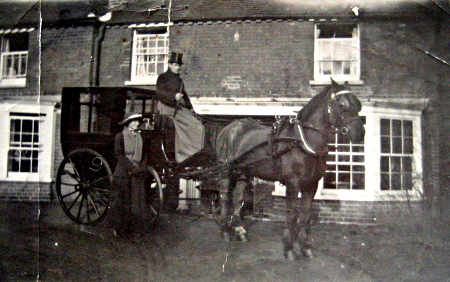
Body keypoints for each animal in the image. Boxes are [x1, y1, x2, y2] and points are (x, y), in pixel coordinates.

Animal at [214, 79, 366, 260]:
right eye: (342, 105)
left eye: (358, 104)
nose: (360, 134)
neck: (301, 141)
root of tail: (229, 128)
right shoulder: (293, 182)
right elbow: (292, 213)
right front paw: (289, 247)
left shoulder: (311, 183)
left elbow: (305, 214)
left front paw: (305, 247)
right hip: (226, 170)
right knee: (224, 197)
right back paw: (224, 231)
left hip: (244, 172)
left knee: (237, 198)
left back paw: (240, 231)